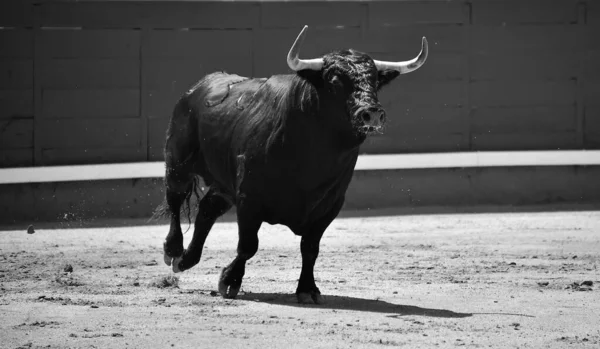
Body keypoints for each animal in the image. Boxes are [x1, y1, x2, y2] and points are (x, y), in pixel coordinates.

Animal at [155, 25, 426, 304]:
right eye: (334, 79)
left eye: (374, 81)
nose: (371, 113)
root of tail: (199, 87)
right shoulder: (249, 198)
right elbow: (248, 245)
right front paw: (229, 282)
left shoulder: (330, 205)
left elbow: (310, 248)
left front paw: (308, 289)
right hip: (178, 163)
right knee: (175, 198)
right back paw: (173, 251)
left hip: (224, 183)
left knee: (208, 209)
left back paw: (186, 259)